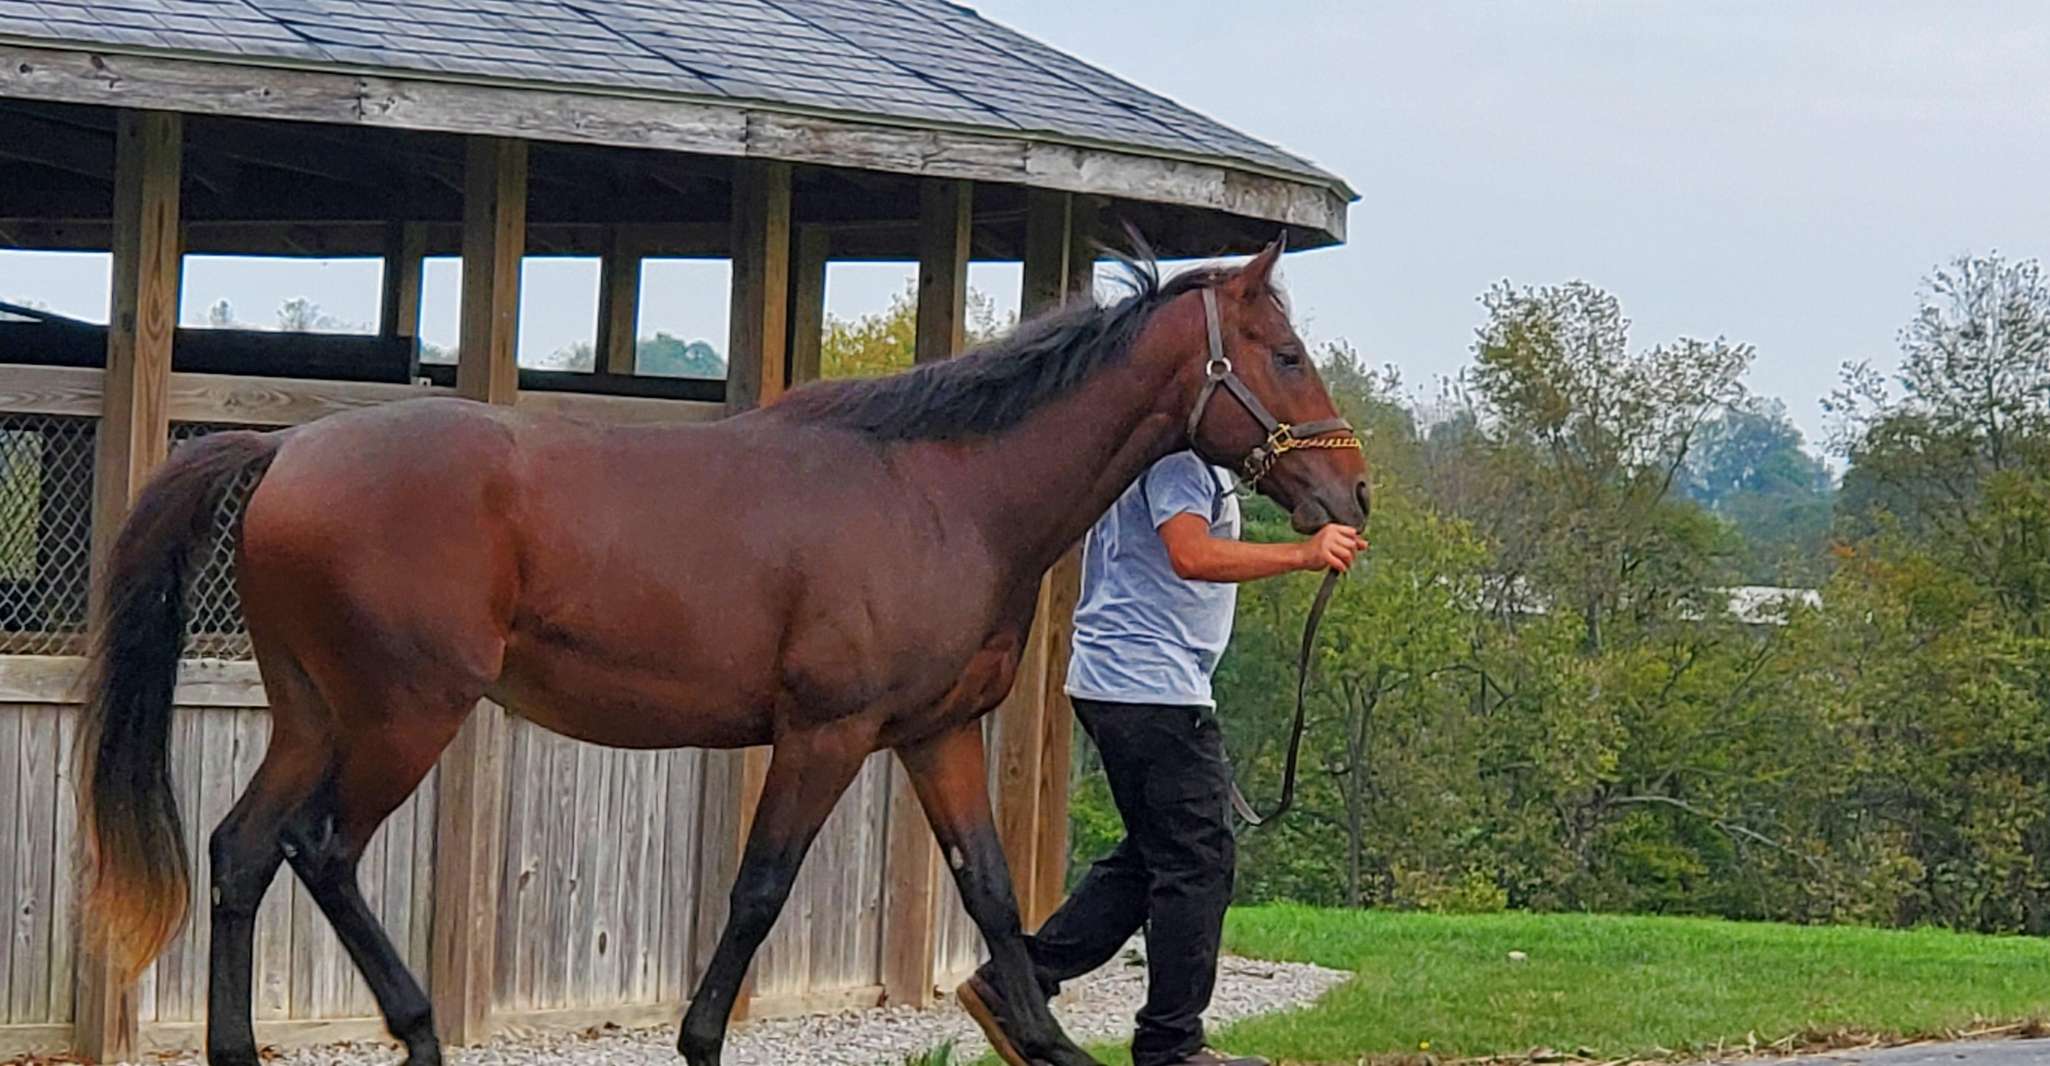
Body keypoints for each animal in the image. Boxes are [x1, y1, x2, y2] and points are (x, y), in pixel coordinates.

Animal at [79, 237, 1369, 1057]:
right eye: (1286, 355)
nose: (1348, 492)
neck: (941, 493)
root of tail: (286, 452)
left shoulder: (937, 735)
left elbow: (994, 891)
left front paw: (1042, 1039)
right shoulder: (824, 735)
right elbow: (757, 893)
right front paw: (700, 1040)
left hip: (313, 714)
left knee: (242, 852)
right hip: (405, 717)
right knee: (322, 849)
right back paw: (420, 1029)